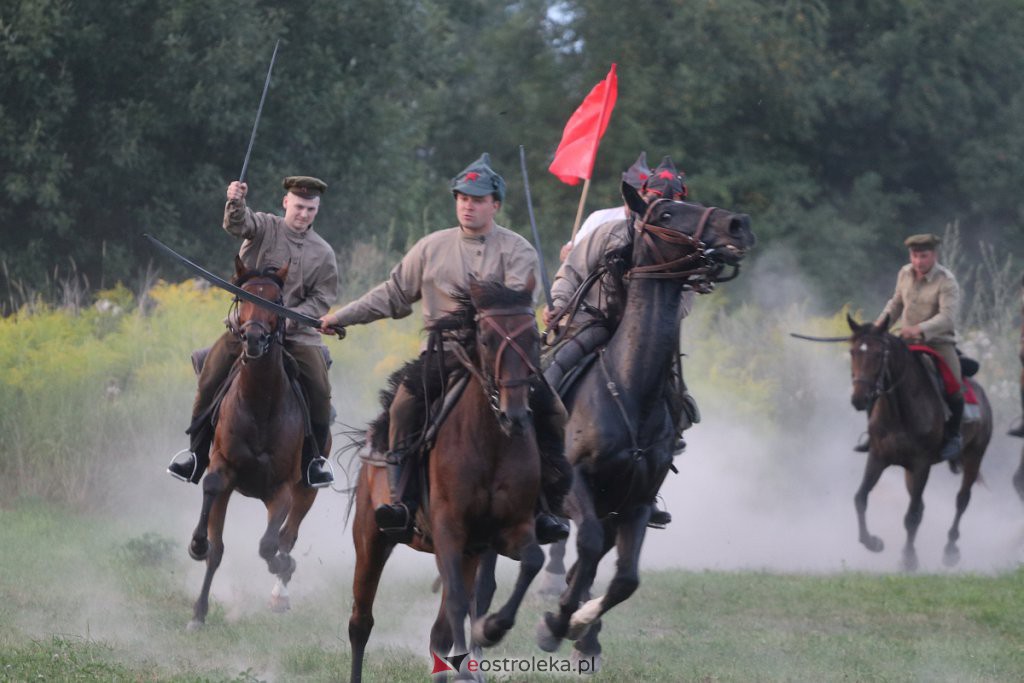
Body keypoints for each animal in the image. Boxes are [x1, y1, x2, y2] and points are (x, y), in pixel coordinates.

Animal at [186, 260, 321, 630]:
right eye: (242, 296)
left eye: (277, 300)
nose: (254, 339)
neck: (260, 402)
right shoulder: (223, 470)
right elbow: (215, 545)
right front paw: (199, 608)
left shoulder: (283, 490)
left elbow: (269, 545)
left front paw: (283, 567)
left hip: (307, 491)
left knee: (287, 537)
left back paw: (281, 591)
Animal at [348, 278, 548, 683]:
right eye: (486, 338)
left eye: (534, 336)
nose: (515, 415)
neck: (490, 444)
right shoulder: (448, 531)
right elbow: (457, 601)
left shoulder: (508, 531)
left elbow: (532, 562)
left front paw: (492, 628)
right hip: (371, 539)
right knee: (361, 623)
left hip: (468, 552)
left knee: (439, 633)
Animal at [532, 183, 757, 671]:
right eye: (668, 213)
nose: (739, 225)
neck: (628, 388)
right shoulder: (575, 486)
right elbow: (589, 549)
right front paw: (557, 623)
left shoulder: (632, 503)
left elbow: (623, 579)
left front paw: (577, 627)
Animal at [847, 315, 991, 573]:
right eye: (853, 351)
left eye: (878, 354)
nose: (859, 399)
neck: (899, 410)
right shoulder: (878, 457)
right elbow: (860, 498)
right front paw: (873, 542)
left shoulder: (921, 463)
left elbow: (912, 515)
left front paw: (908, 559)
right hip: (909, 472)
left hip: (974, 456)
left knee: (961, 500)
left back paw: (950, 550)